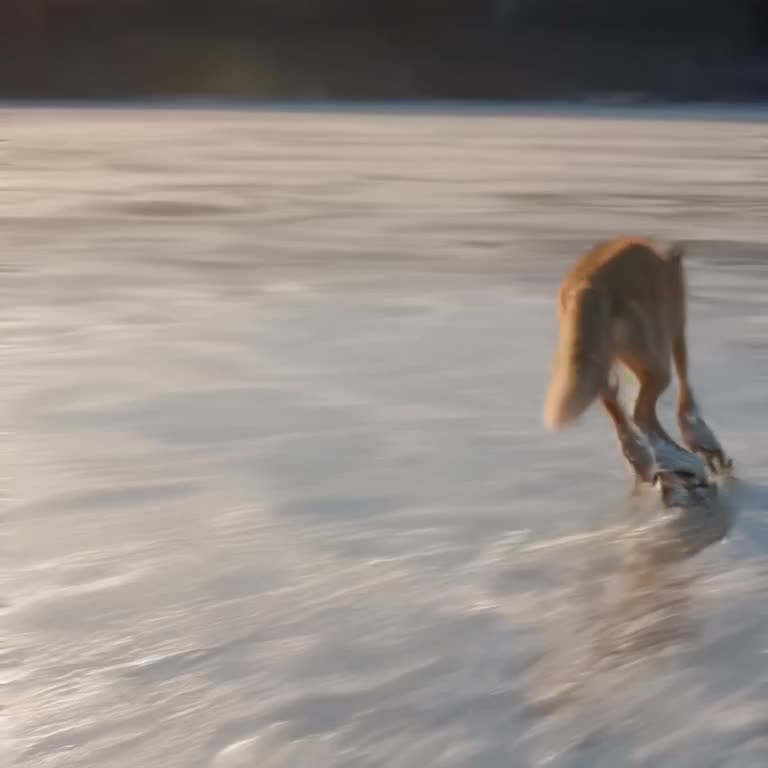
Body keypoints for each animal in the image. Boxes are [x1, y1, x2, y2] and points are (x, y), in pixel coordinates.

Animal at [542, 236, 731, 486]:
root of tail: (589, 284)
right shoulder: (676, 331)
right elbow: (685, 390)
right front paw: (702, 442)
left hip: (602, 361)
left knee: (618, 405)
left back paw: (645, 458)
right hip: (656, 362)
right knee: (641, 413)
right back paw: (677, 458)